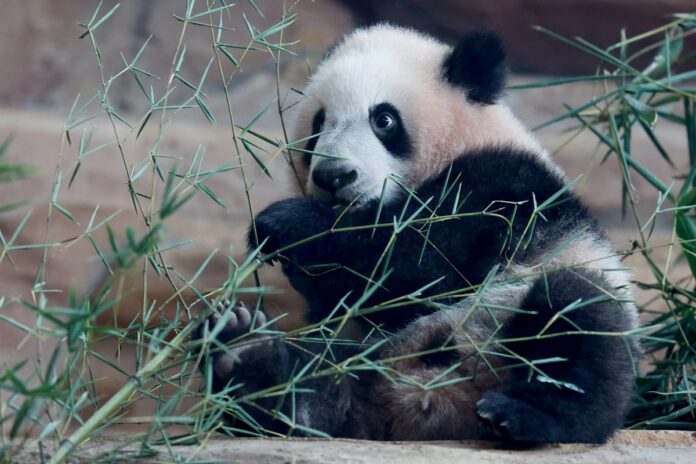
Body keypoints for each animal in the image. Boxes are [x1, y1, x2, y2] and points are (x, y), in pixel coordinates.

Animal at [195, 25, 640, 443]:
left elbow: (417, 263)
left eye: (384, 119)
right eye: (318, 123)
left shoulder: (504, 186)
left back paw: (523, 415)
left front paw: (286, 224)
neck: (463, 141)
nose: (333, 176)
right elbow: (351, 297)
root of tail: (428, 410)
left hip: (548, 293)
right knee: (320, 379)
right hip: (360, 361)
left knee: (579, 318)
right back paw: (248, 358)